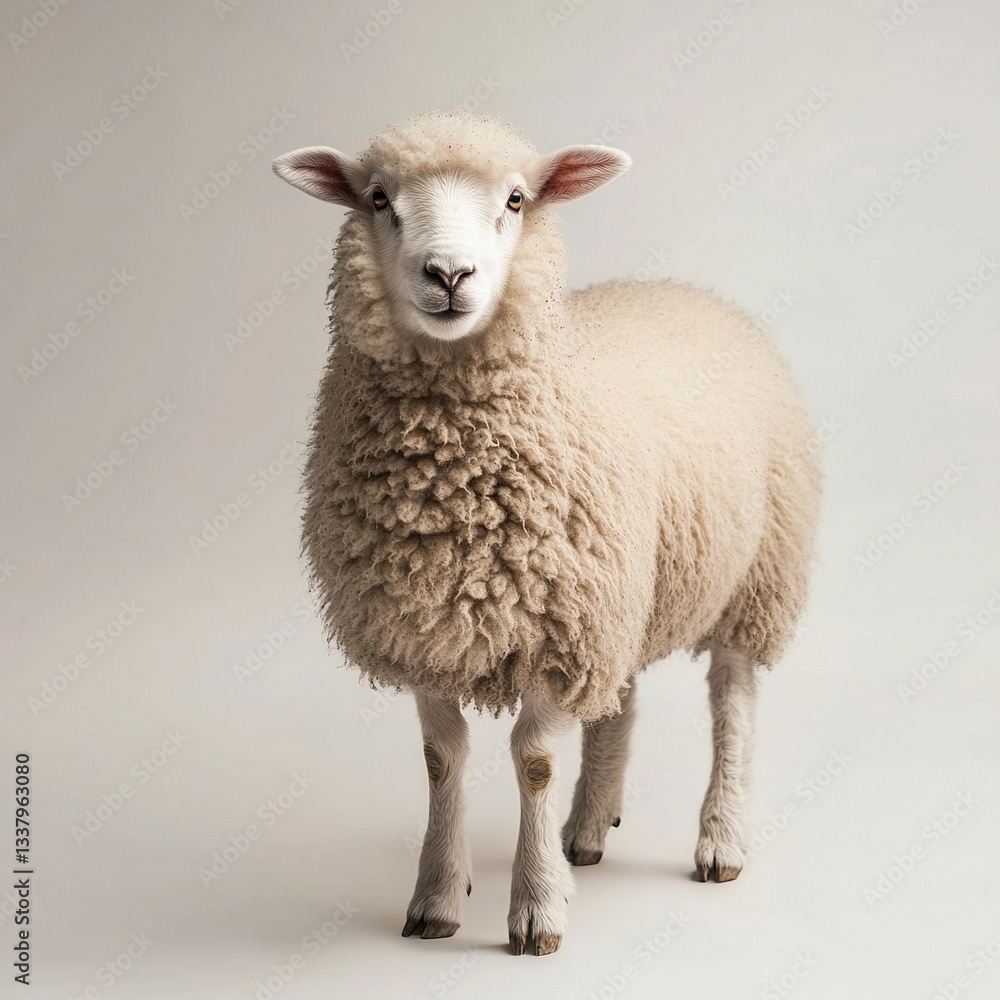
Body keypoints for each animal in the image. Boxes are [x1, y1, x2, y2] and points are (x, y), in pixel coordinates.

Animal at [272, 110, 821, 957]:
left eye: (517, 200)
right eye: (378, 199)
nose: (449, 274)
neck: (448, 492)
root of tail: (686, 289)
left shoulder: (557, 628)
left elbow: (532, 763)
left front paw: (535, 909)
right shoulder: (428, 622)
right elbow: (440, 760)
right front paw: (438, 895)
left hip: (757, 571)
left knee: (732, 700)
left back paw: (720, 839)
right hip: (623, 593)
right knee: (618, 704)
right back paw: (588, 830)